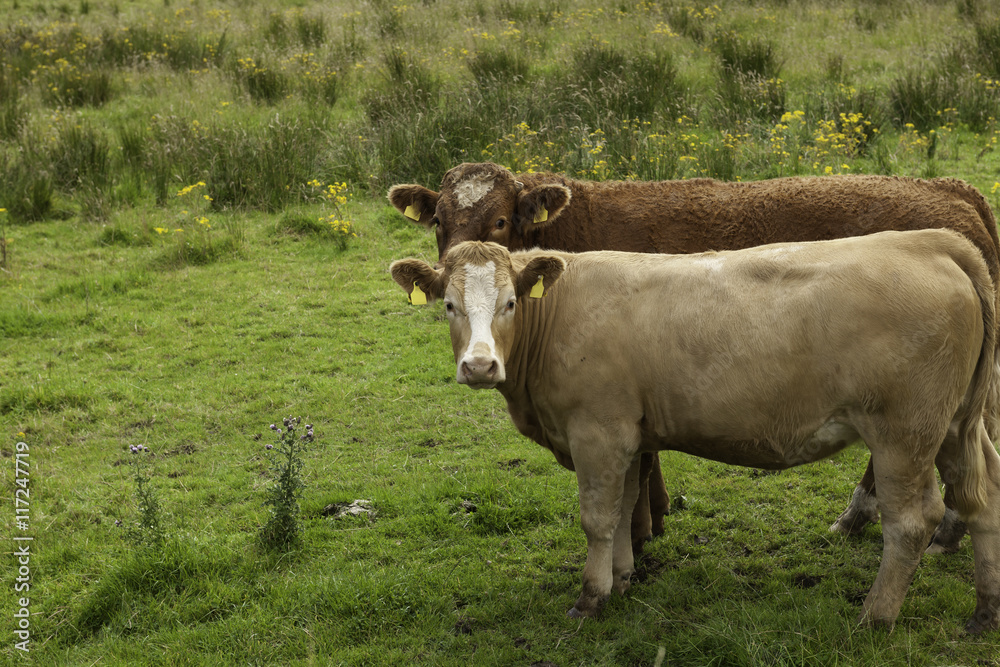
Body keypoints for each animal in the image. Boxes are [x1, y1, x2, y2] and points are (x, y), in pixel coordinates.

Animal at [388, 164, 1000, 556]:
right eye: (438, 221)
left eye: (497, 221)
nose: (447, 274)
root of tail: (950, 188)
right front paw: (653, 518)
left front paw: (641, 530)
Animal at [392, 235, 1000, 632]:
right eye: (448, 305)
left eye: (511, 303)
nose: (479, 366)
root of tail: (928, 242)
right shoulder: (629, 437)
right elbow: (625, 508)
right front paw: (622, 578)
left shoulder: (597, 433)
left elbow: (598, 518)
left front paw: (590, 598)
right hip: (955, 425)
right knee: (982, 498)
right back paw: (985, 610)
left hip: (904, 433)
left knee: (912, 522)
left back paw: (874, 617)